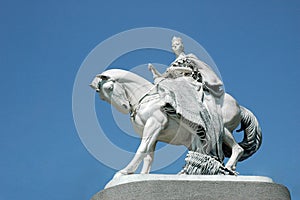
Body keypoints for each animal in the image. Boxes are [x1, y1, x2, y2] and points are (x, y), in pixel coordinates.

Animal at [90, 68, 262, 177]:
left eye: (110, 87)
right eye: (102, 97)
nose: (125, 107)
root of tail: (240, 106)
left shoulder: (154, 125)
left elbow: (142, 149)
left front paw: (125, 171)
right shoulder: (153, 134)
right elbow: (148, 156)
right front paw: (143, 175)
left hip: (223, 130)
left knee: (238, 149)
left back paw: (228, 168)